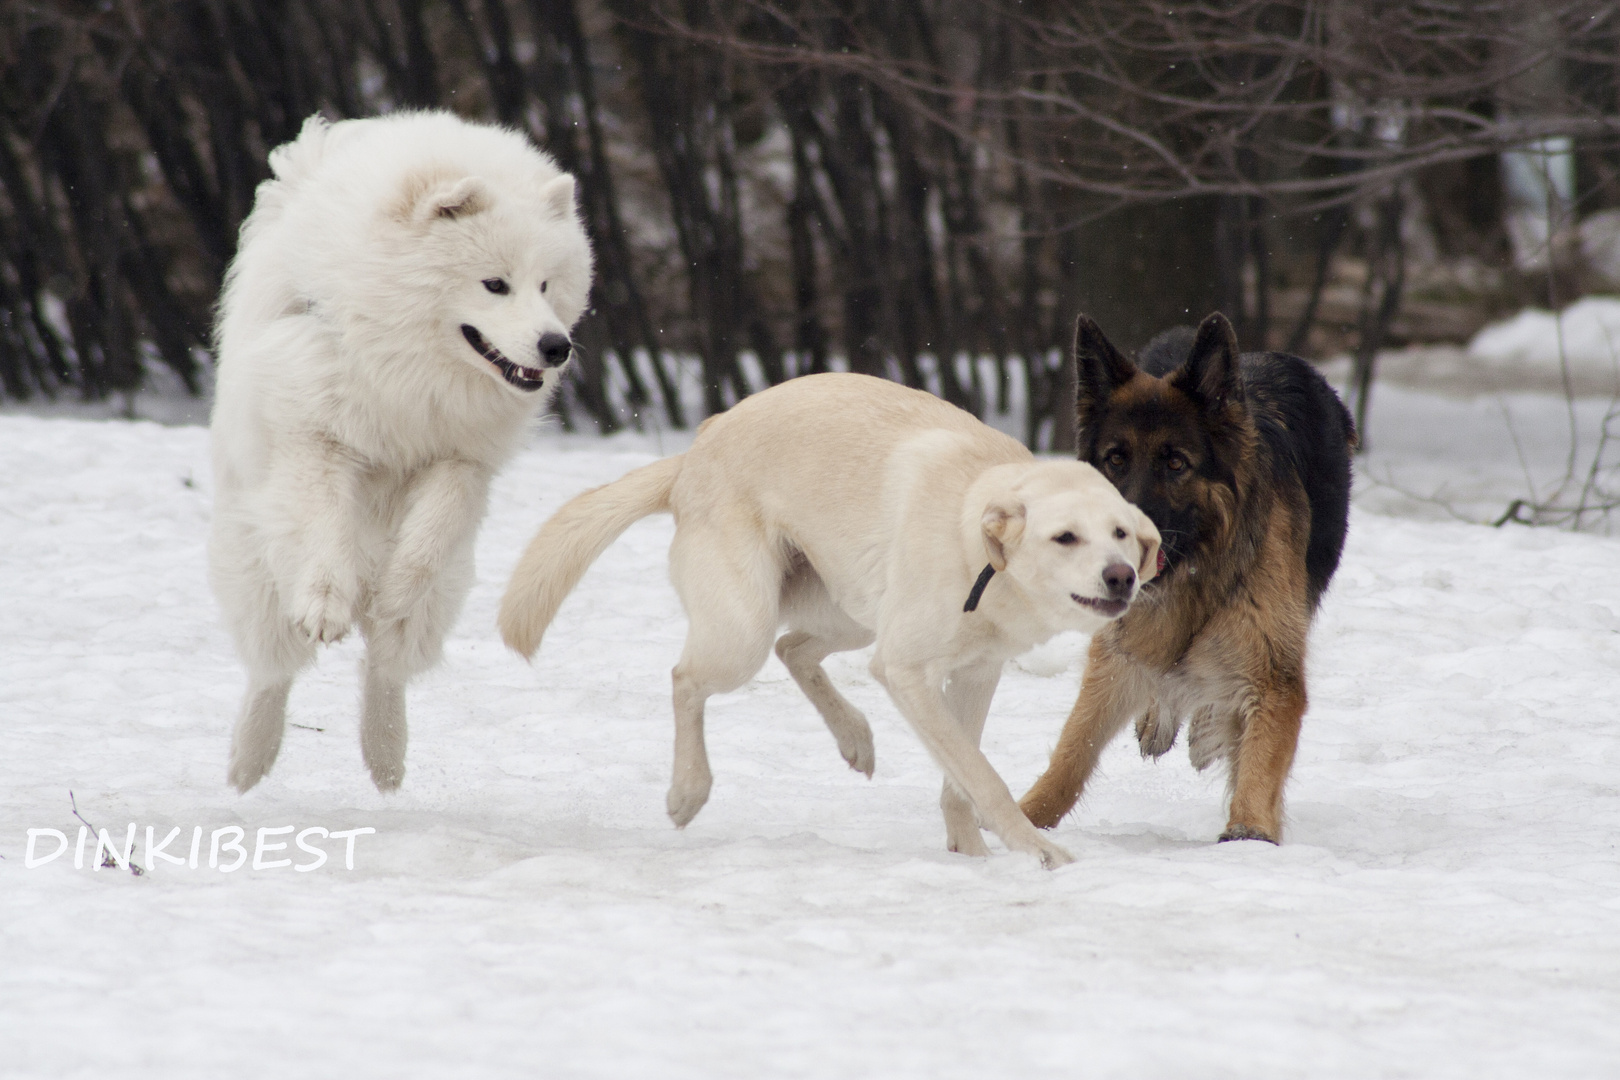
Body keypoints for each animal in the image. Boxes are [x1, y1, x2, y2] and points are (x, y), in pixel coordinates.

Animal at [212, 111, 592, 793]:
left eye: (548, 285)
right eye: (495, 284)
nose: (557, 346)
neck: (406, 367)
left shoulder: (461, 460)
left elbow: (425, 545)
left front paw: (394, 590)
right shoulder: (318, 440)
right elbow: (326, 533)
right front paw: (327, 606)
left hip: (443, 596)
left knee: (386, 665)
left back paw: (386, 757)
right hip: (256, 564)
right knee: (273, 669)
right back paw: (249, 760)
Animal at [498, 372, 1159, 867]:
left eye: (1121, 533)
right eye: (1065, 537)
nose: (1122, 576)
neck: (975, 539)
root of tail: (697, 447)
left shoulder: (976, 673)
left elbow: (961, 781)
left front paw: (970, 855)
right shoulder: (907, 671)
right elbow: (982, 777)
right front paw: (1036, 852)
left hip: (852, 615)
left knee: (794, 649)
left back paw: (854, 737)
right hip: (746, 628)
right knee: (688, 678)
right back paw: (688, 790)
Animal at [1023, 312, 1354, 841]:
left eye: (1175, 462)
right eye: (1115, 459)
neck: (1191, 574)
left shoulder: (1273, 672)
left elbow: (1258, 762)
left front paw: (1248, 833)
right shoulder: (1117, 649)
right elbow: (1072, 753)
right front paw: (1021, 819)